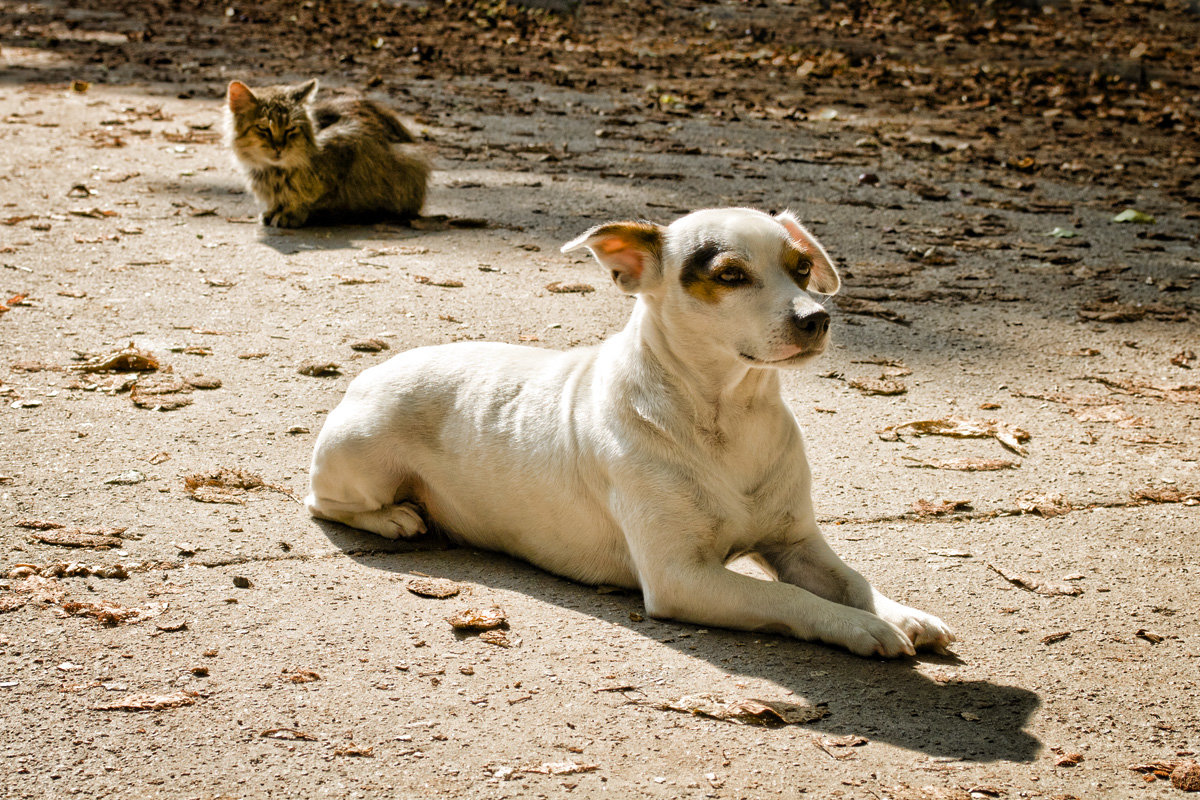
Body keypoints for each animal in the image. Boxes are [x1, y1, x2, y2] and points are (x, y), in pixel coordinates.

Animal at [225, 79, 432, 227]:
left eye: (291, 129)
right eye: (263, 128)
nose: (279, 147)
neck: (272, 172)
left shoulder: (351, 141)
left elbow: (308, 197)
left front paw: (291, 213)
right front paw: (274, 210)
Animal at [309, 206, 955, 657]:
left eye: (801, 270)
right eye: (731, 275)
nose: (816, 318)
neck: (729, 412)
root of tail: (373, 372)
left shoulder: (797, 545)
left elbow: (851, 580)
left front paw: (898, 613)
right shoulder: (682, 578)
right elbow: (787, 596)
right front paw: (860, 628)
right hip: (362, 462)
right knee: (323, 502)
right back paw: (396, 518)